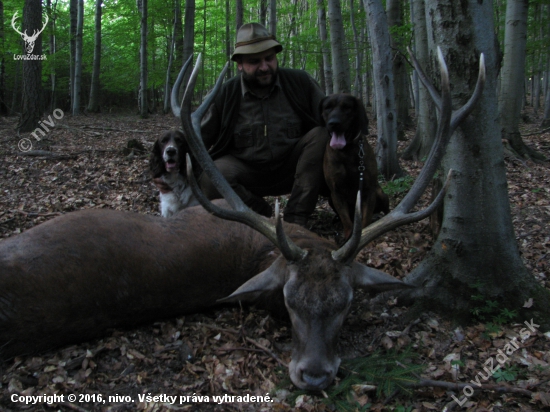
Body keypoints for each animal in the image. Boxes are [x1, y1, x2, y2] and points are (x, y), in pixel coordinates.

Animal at [322, 93, 390, 240]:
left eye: (347, 107)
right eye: (327, 107)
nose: (334, 123)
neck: (346, 150)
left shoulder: (369, 190)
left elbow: (365, 220)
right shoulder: (336, 192)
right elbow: (346, 220)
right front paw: (347, 237)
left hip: (380, 193)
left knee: (386, 208)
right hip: (330, 199)